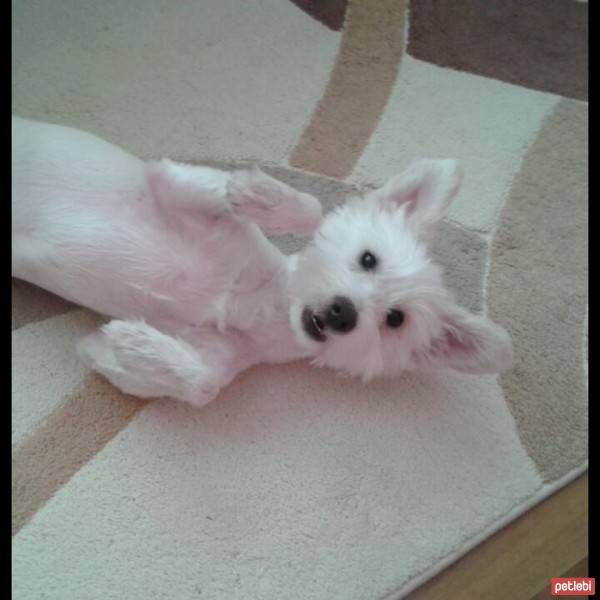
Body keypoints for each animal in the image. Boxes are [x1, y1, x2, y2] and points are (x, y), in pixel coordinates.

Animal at [11, 117, 512, 408]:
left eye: (395, 320)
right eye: (368, 258)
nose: (342, 312)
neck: (258, 305)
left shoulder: (213, 355)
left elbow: (200, 386)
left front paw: (134, 346)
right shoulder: (168, 183)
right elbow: (308, 205)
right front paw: (259, 192)